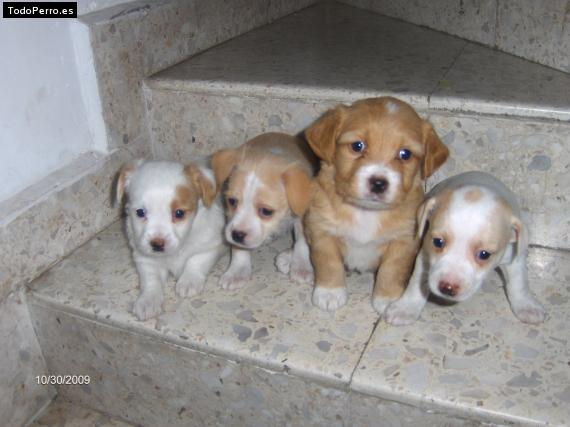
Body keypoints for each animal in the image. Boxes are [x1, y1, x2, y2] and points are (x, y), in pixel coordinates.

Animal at [114, 160, 225, 320]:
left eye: (179, 213)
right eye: (140, 212)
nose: (157, 244)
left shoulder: (210, 246)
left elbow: (195, 261)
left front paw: (188, 281)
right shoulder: (145, 258)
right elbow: (151, 280)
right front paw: (148, 301)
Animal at [210, 132, 316, 290]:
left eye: (266, 211)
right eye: (232, 201)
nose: (237, 235)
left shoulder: (302, 217)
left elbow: (302, 243)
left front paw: (301, 267)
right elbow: (239, 249)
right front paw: (237, 271)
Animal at [304, 98, 446, 314]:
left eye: (405, 154)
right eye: (357, 146)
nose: (378, 183)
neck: (366, 212)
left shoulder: (403, 242)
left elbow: (392, 271)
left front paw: (387, 298)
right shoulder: (322, 231)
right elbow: (328, 263)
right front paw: (330, 293)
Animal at [384, 172, 544, 326]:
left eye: (484, 254)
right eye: (438, 242)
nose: (447, 288)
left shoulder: (514, 257)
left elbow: (519, 283)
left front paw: (527, 307)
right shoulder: (424, 256)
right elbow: (416, 283)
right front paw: (406, 308)